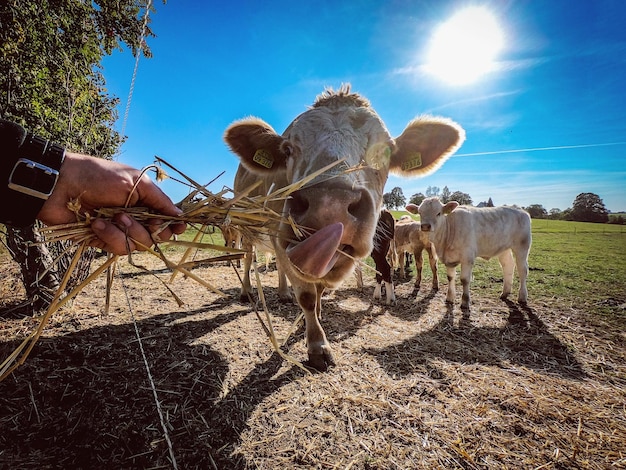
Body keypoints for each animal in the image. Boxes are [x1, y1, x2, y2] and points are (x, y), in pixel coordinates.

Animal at [225, 85, 464, 370]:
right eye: (288, 149)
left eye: (386, 151)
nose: (329, 203)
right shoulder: (281, 237)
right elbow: (306, 295)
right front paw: (317, 345)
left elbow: (316, 288)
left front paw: (316, 315)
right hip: (246, 226)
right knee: (248, 257)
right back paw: (247, 290)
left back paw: (284, 293)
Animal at [404, 198, 532, 312]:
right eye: (420, 213)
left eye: (438, 213)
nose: (425, 226)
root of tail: (520, 209)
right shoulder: (449, 259)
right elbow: (450, 277)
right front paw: (449, 298)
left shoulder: (467, 257)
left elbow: (464, 280)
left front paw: (465, 302)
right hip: (504, 249)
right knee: (508, 266)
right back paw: (505, 293)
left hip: (522, 246)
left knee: (523, 270)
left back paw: (522, 297)